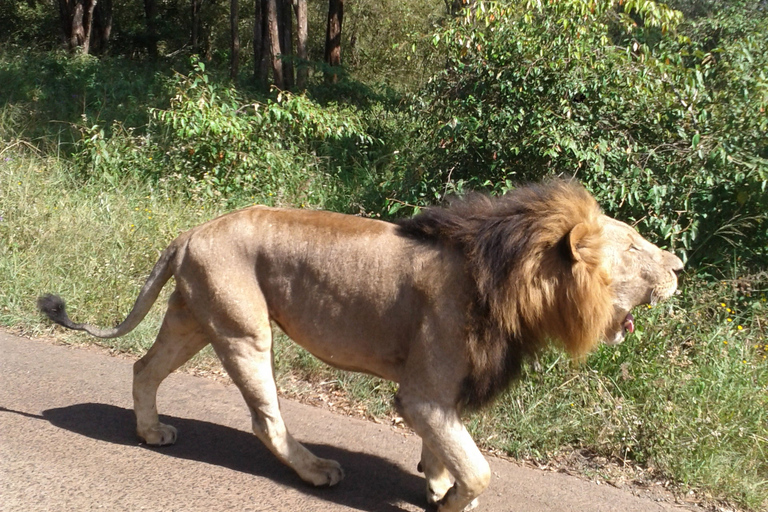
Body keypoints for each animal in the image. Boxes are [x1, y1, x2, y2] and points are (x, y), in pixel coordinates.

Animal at [37, 181, 684, 512]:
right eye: (634, 247)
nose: (679, 265)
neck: (513, 279)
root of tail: (190, 231)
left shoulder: (434, 391)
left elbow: (445, 448)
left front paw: (435, 479)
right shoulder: (424, 392)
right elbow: (478, 469)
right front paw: (453, 499)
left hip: (194, 317)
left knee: (144, 367)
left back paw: (150, 432)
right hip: (244, 330)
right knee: (265, 419)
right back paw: (317, 471)